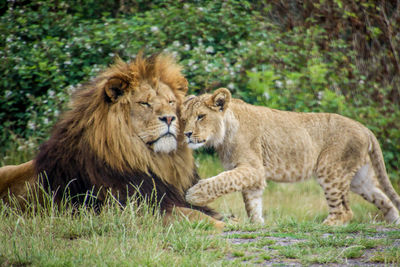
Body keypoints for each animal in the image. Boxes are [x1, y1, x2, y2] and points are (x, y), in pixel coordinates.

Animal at [0, 55, 225, 230]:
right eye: (144, 103)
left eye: (170, 102)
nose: (170, 118)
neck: (151, 160)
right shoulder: (129, 210)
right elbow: (188, 214)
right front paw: (224, 225)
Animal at [182, 88, 400, 226]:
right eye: (184, 119)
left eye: (201, 116)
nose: (187, 134)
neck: (223, 134)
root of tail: (365, 128)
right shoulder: (254, 176)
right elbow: (252, 202)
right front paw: (257, 224)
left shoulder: (253, 168)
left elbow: (223, 180)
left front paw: (195, 194)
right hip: (359, 179)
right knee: (383, 198)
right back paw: (393, 223)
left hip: (330, 169)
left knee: (345, 211)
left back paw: (324, 226)